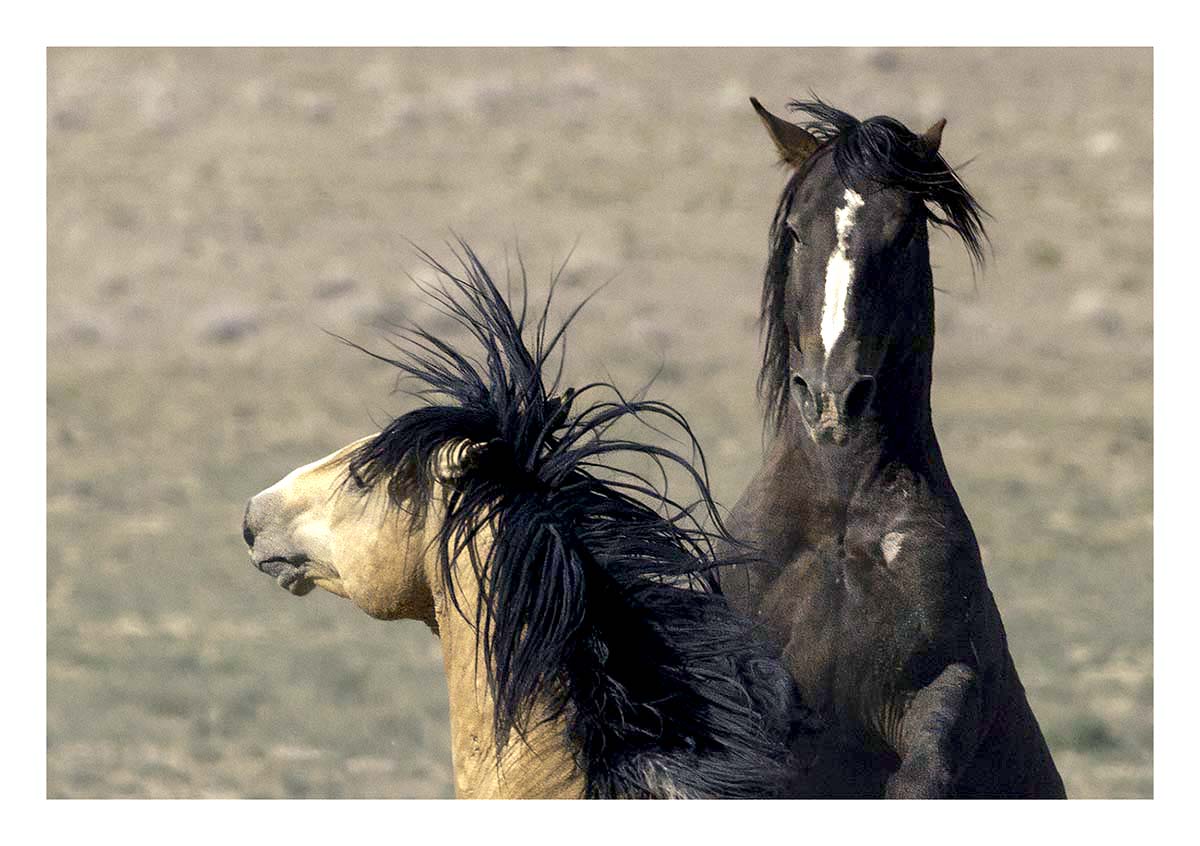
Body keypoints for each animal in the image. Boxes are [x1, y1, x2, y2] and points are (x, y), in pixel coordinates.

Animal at [717, 98, 1066, 798]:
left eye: (904, 235)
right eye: (795, 231)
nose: (831, 397)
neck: (838, 518)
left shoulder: (947, 684)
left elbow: (922, 770)